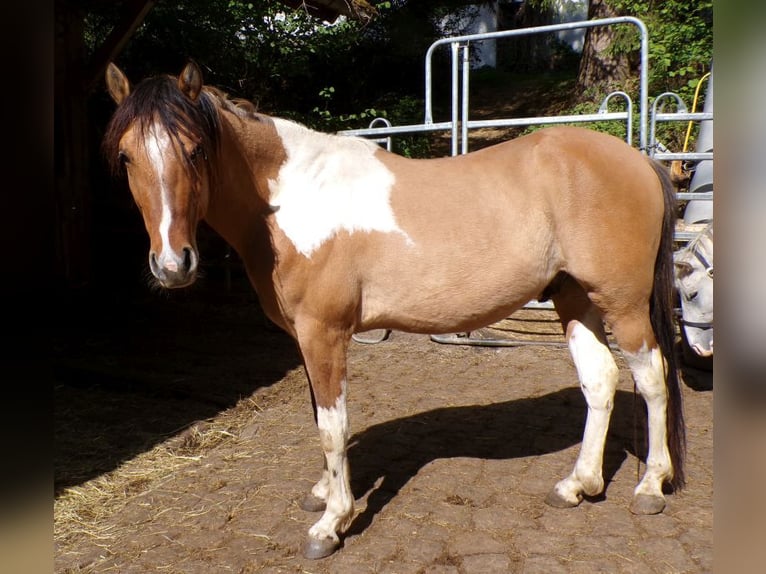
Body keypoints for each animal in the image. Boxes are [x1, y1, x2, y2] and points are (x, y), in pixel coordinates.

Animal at [102, 60, 685, 559]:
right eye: (127, 157)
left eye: (195, 150)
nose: (173, 264)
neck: (290, 199)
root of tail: (638, 159)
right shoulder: (306, 340)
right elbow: (320, 416)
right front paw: (323, 493)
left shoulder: (324, 333)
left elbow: (332, 426)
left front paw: (331, 523)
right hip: (574, 298)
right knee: (600, 380)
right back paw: (577, 485)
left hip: (622, 305)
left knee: (651, 378)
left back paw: (650, 486)